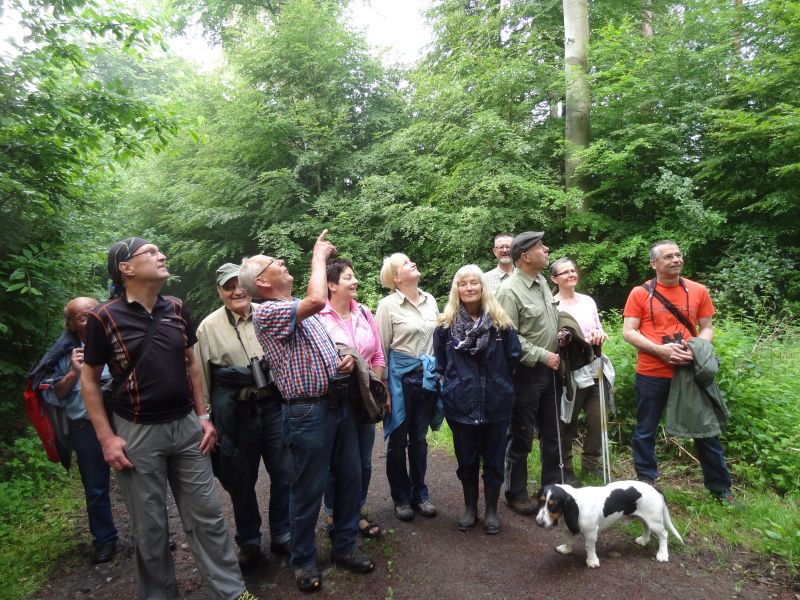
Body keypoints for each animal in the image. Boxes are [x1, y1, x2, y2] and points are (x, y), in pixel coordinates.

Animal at [536, 480, 684, 568]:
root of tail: (655, 488)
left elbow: (589, 547)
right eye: (541, 501)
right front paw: (566, 550)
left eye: (553, 505)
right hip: (645, 518)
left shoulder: (591, 533)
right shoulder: (567, 529)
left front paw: (592, 561)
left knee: (664, 535)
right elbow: (568, 541)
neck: (576, 503)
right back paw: (644, 540)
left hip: (655, 521)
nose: (539, 522)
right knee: (646, 527)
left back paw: (662, 554)